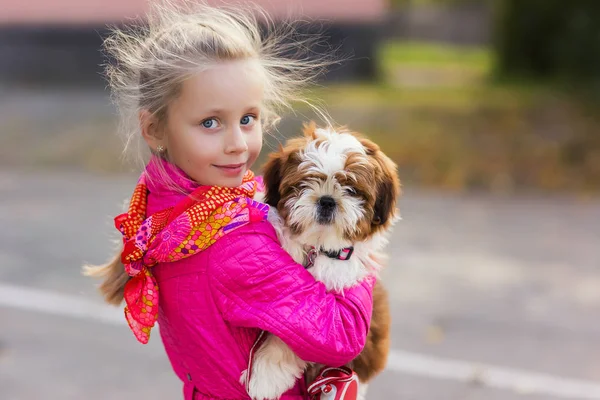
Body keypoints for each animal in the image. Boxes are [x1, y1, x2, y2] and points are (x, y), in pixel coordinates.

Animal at [241, 122, 400, 400]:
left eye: (351, 190)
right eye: (305, 183)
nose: (327, 200)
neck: (318, 246)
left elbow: (297, 337)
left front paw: (265, 375)